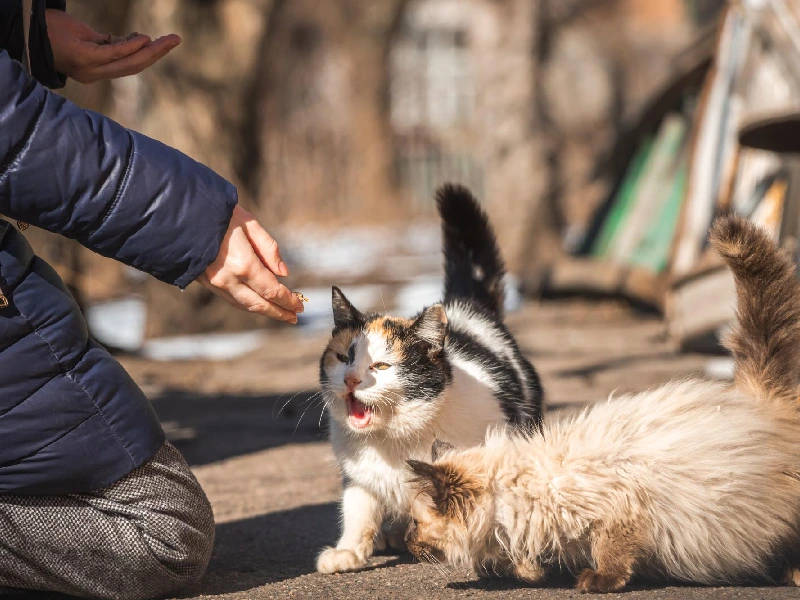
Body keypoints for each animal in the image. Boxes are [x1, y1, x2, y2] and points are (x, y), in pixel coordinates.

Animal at [314, 182, 544, 572]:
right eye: (344, 357)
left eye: (381, 366)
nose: (350, 379)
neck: (396, 438)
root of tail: (464, 306)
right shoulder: (358, 476)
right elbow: (358, 510)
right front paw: (349, 551)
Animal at [410, 214, 800, 592]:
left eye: (414, 524)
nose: (408, 545)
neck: (514, 493)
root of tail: (758, 394)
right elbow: (527, 561)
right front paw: (526, 571)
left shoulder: (620, 508)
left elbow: (610, 550)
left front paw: (595, 580)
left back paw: (789, 573)